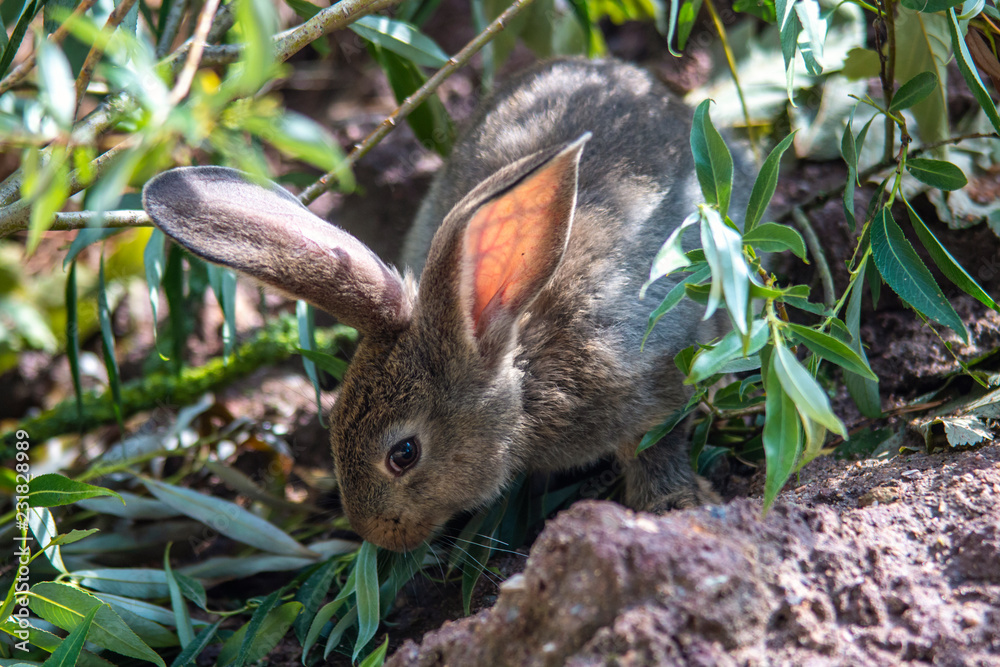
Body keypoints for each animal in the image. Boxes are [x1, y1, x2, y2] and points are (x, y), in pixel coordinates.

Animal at [143, 57, 740, 552]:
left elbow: (657, 442)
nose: (375, 534)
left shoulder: (647, 376)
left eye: (403, 454)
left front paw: (674, 506)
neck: (520, 370)